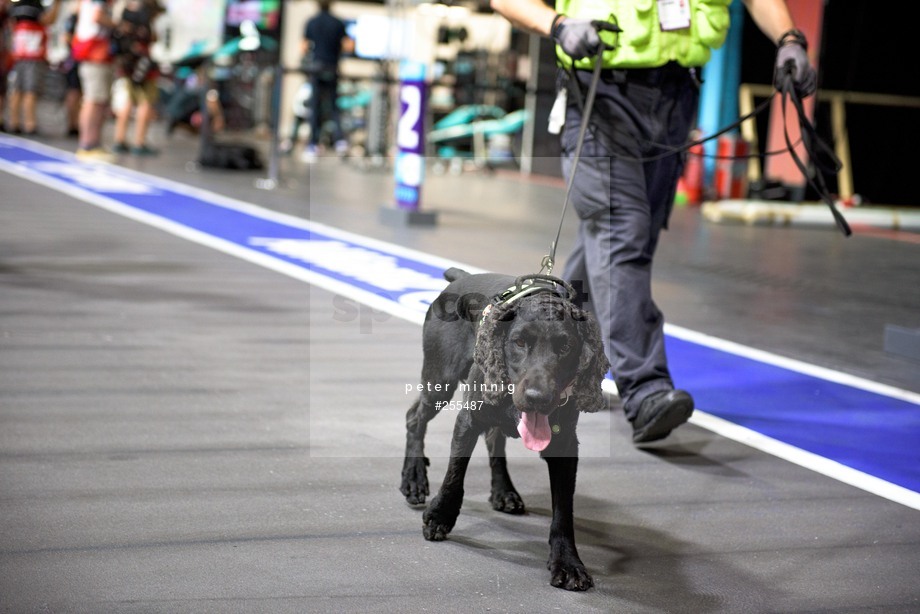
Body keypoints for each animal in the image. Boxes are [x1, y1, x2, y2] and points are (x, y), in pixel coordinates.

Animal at [400, 268, 612, 592]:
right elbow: (454, 475)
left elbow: (564, 510)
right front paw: (440, 516)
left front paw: (567, 562)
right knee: (415, 418)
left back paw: (504, 491)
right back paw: (413, 478)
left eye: (566, 347)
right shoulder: (469, 418)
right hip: (440, 379)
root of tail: (461, 278)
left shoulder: (564, 445)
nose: (538, 397)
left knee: (493, 440)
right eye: (520, 342)